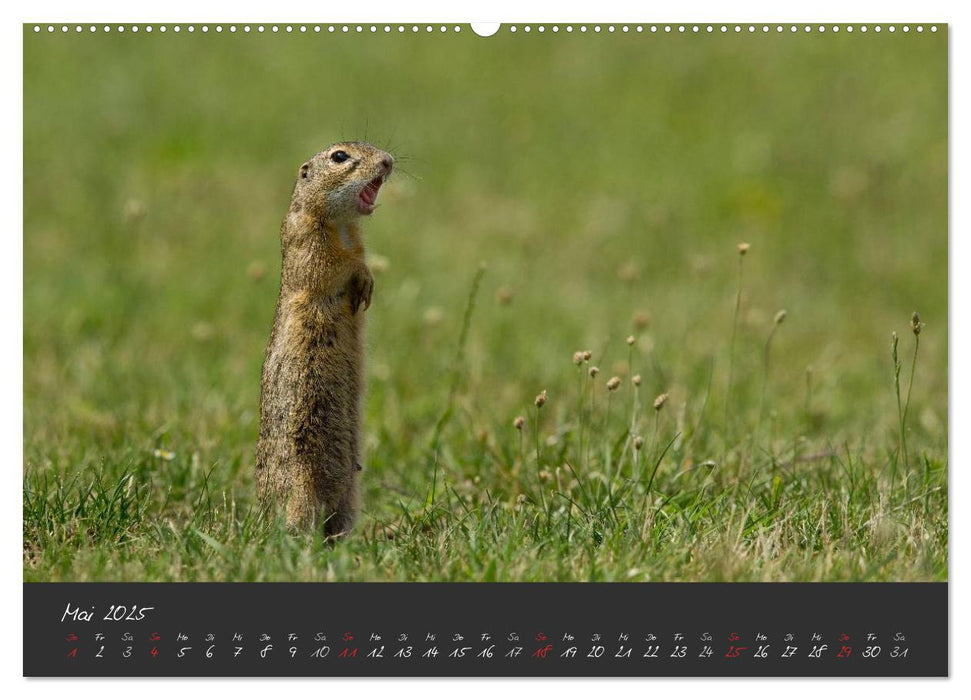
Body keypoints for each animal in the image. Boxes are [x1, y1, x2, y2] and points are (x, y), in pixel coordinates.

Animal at [260, 142, 396, 536]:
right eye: (339, 156)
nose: (388, 161)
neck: (343, 225)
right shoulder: (308, 242)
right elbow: (331, 267)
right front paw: (363, 278)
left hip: (351, 492)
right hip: (301, 484)